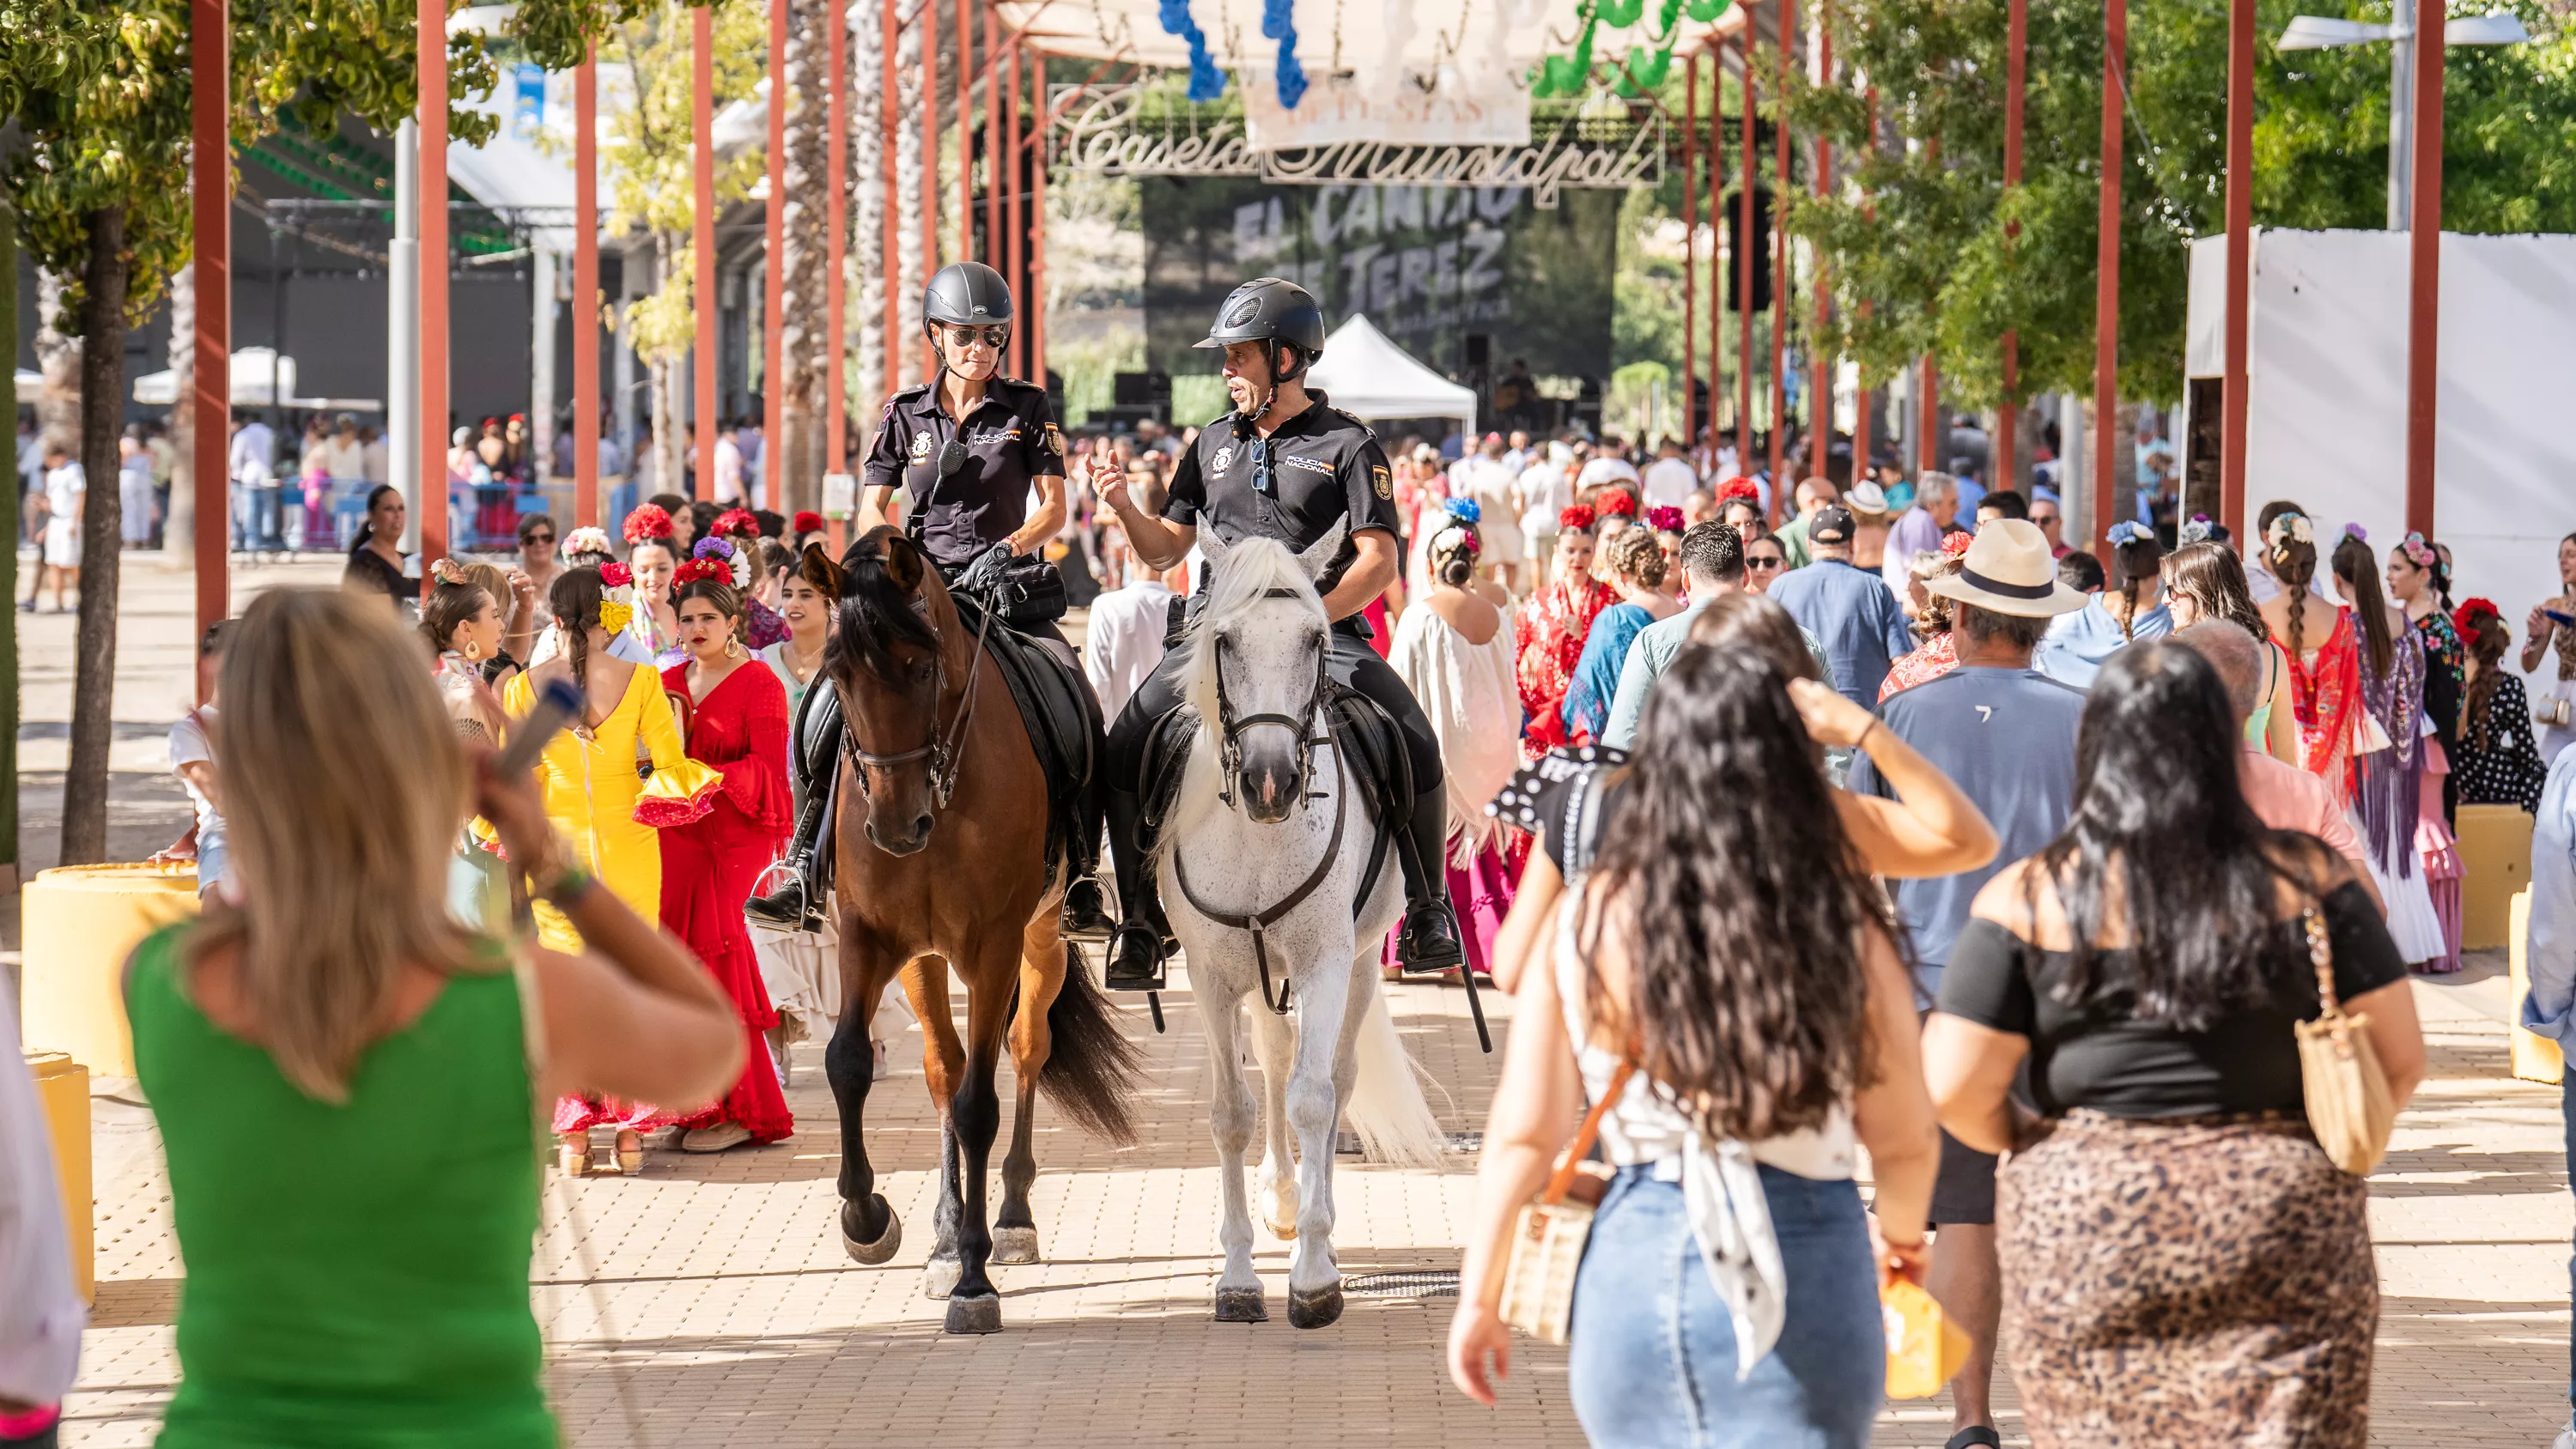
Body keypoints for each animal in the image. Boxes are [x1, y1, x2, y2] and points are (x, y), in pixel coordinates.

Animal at [814, 527, 1139, 1328]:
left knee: (1024, 1050)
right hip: (925, 958)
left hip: (1043, 938)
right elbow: (852, 1064)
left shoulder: (994, 945)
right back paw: (942, 1230)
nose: (896, 827)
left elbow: (978, 1104)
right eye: (837, 672)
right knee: (944, 1066)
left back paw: (1012, 1217)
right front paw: (870, 1220)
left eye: (922, 664)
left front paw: (973, 1276)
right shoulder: (873, 936)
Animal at [1154, 527, 1453, 1328]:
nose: (1270, 780)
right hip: (1262, 973)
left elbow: (1315, 1098)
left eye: (1316, 638)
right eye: (1224, 639)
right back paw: (1283, 1203)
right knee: (1276, 1059)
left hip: (1359, 963)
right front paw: (1236, 1278)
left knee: (1332, 1080)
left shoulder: (1324, 961)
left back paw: (1316, 1228)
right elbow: (1232, 1111)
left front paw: (1314, 1276)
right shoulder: (1212, 976)